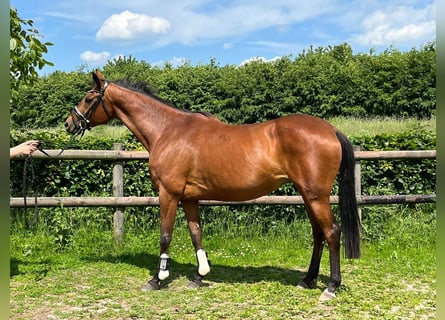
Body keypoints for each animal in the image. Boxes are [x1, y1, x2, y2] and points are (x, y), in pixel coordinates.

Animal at [63, 69, 360, 300]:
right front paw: (199, 275)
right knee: (318, 234)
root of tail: (331, 130)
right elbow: (196, 233)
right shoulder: (189, 198)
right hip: (308, 195)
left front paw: (158, 279)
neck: (167, 130)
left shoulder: (168, 194)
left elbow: (165, 235)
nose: (69, 124)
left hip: (316, 196)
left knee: (332, 232)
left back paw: (331, 287)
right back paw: (308, 280)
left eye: (88, 98)